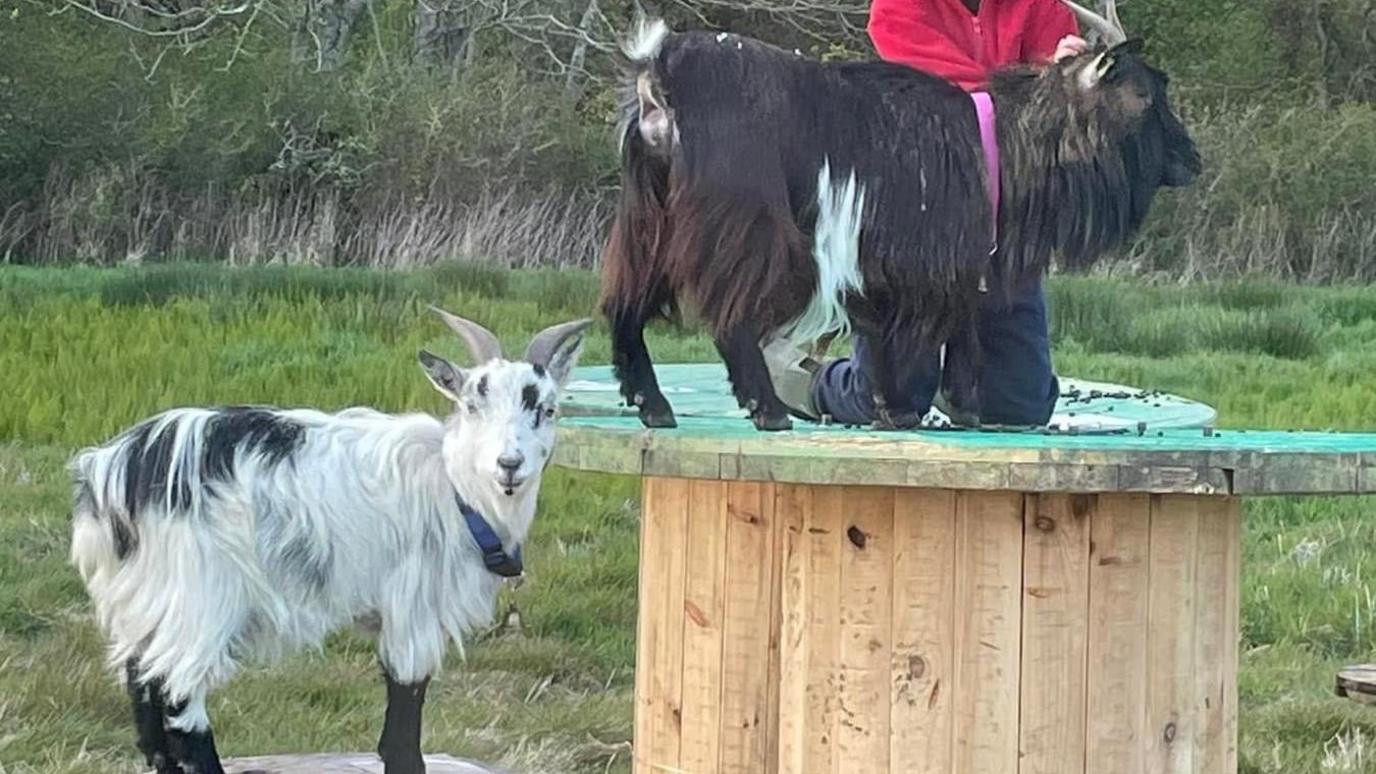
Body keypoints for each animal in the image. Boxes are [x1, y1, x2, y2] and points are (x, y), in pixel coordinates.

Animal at [71, 307, 586, 771]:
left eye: (548, 409)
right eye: (472, 406)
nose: (509, 464)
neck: (457, 488)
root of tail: (112, 471)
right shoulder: (412, 609)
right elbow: (404, 724)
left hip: (147, 598)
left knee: (144, 687)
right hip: (201, 597)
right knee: (180, 697)